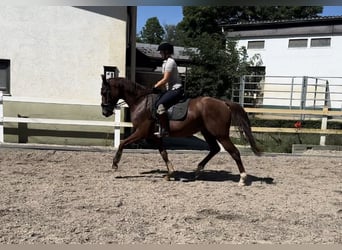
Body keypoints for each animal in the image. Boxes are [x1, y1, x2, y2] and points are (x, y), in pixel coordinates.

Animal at [100, 75, 260, 185]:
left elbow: (122, 143)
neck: (140, 101)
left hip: (221, 134)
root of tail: (223, 103)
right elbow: (163, 153)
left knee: (234, 152)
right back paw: (198, 170)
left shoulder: (142, 132)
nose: (105, 112)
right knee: (214, 149)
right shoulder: (154, 136)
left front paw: (115, 164)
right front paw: (170, 173)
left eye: (105, 91)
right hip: (207, 132)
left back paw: (242, 178)